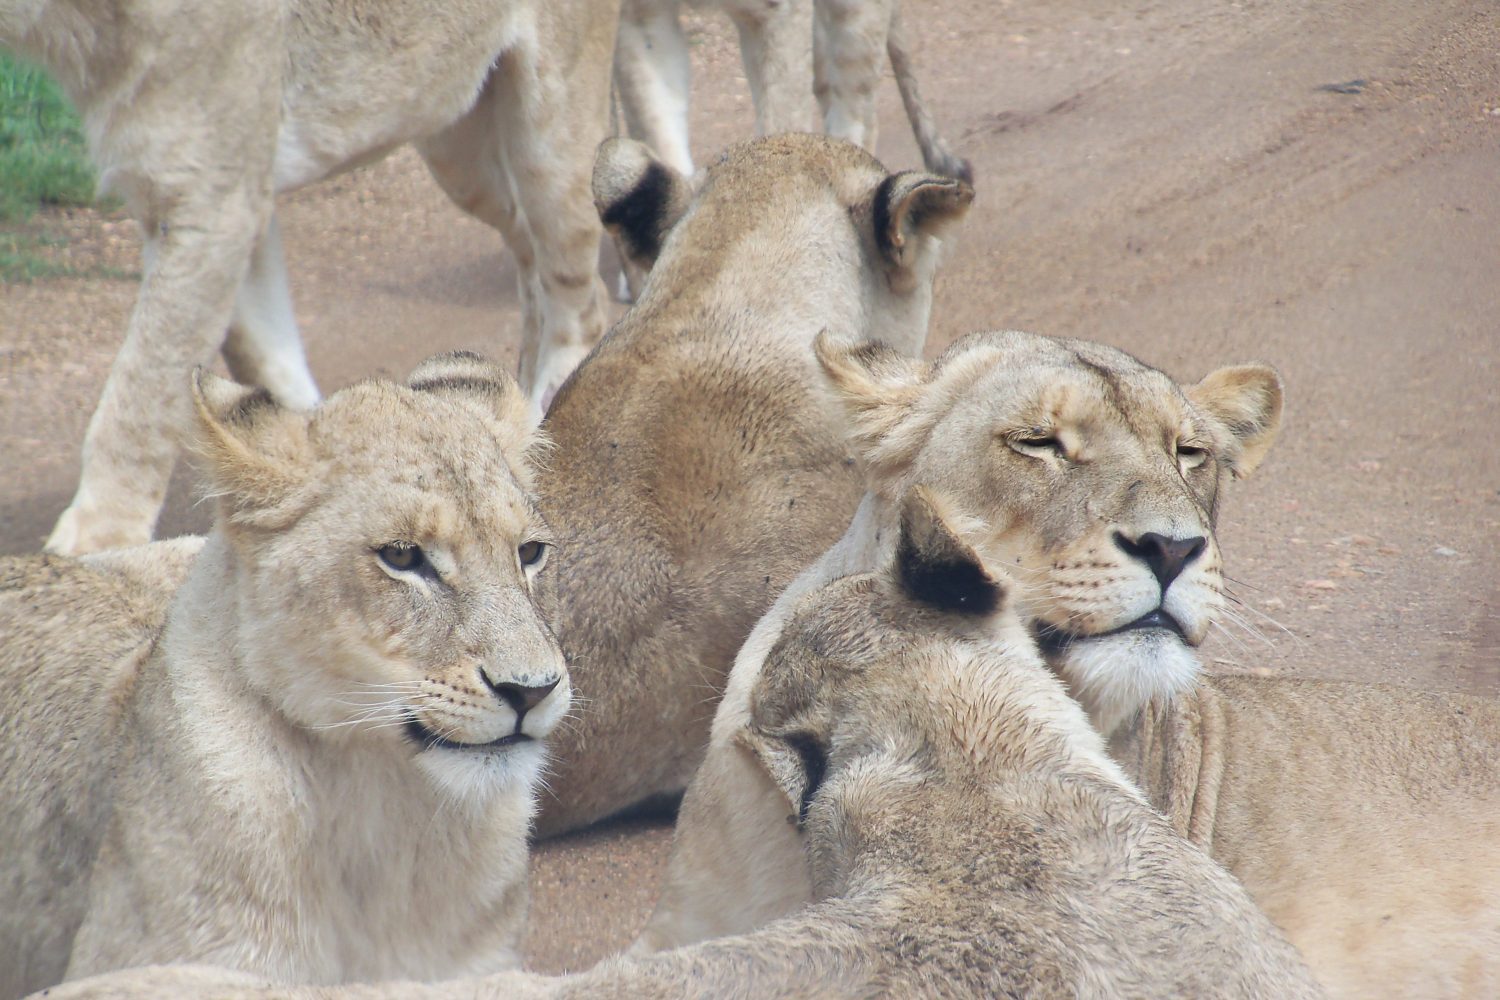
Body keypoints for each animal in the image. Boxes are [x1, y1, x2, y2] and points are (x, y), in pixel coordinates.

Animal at [2, 0, 618, 554]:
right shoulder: (217, 200)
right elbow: (263, 358)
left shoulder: (212, 200)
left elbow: (140, 397)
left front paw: (96, 544)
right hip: (462, 151)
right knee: (531, 257)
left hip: (548, 126)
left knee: (580, 299)